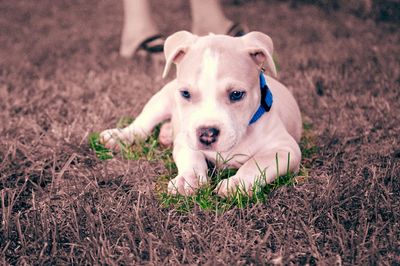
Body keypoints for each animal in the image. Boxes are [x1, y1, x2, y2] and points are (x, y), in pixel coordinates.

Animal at [99, 31, 300, 197]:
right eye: (186, 93)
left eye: (236, 94)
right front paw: (188, 179)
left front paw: (237, 183)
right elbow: (192, 158)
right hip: (162, 98)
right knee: (142, 125)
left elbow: (257, 162)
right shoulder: (186, 139)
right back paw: (120, 137)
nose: (207, 134)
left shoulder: (286, 149)